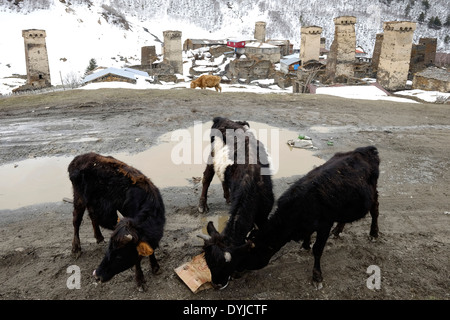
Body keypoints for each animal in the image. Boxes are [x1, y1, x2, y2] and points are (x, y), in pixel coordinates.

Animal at [67, 152, 165, 290]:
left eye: (119, 255)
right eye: (109, 249)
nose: (97, 275)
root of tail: (79, 158)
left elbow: (150, 251)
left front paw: (155, 267)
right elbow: (137, 260)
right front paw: (140, 280)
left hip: (91, 202)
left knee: (92, 216)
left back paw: (99, 237)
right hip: (79, 198)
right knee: (76, 220)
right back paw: (76, 248)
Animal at [198, 117, 274, 290]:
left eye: (226, 266)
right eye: (209, 264)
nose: (217, 284)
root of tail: (224, 119)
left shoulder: (264, 215)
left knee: (221, 179)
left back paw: (226, 197)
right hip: (212, 155)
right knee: (207, 177)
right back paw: (202, 204)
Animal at [243, 146, 380, 288]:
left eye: (251, 251)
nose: (240, 271)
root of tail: (365, 150)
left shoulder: (325, 224)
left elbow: (317, 249)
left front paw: (317, 276)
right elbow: (308, 236)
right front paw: (305, 245)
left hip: (373, 193)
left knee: (375, 211)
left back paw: (373, 234)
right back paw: (338, 231)